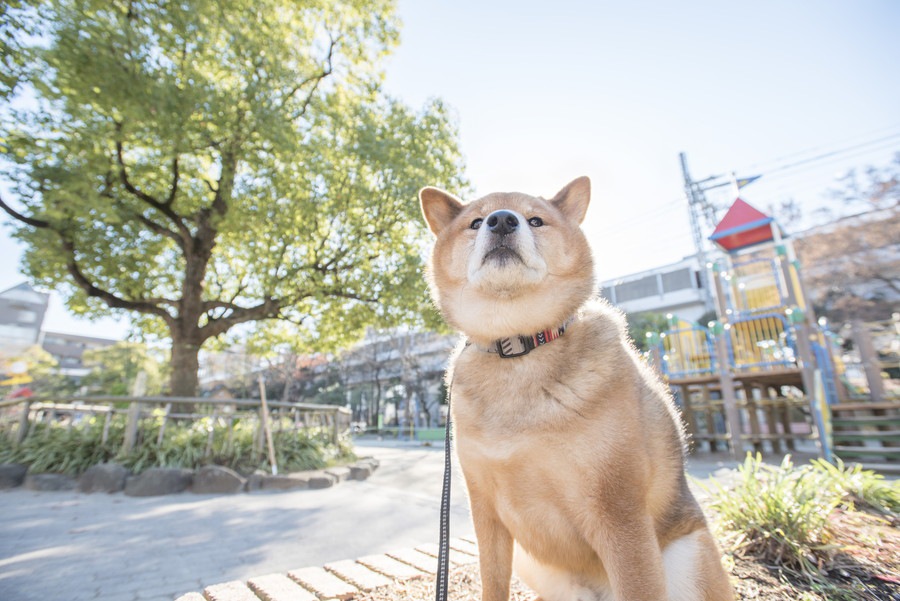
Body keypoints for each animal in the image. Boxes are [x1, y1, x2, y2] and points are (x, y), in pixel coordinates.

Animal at [418, 175, 736, 600]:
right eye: (476, 222)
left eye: (535, 220)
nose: (502, 220)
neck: (520, 349)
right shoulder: (485, 510)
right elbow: (492, 584)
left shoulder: (618, 513)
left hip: (685, 556)